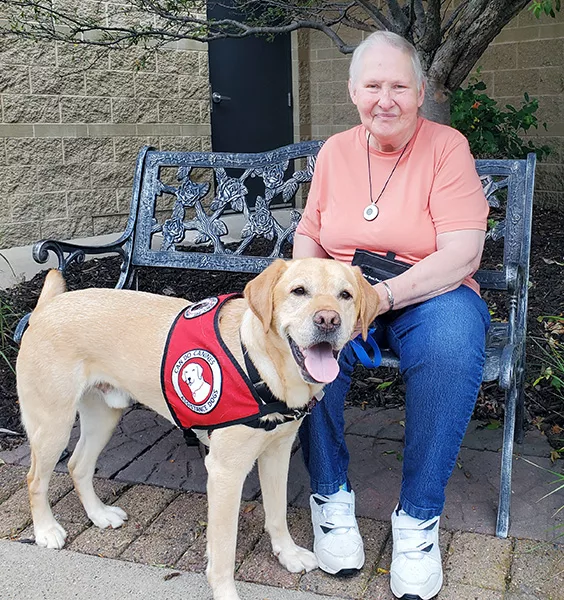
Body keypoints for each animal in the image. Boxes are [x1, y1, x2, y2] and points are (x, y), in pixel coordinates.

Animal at [16, 258, 378, 600]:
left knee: (78, 466)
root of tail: (47, 306)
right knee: (35, 479)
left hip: (104, 416)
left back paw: (99, 515)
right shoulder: (225, 472)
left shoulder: (276, 454)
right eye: (299, 291)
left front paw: (287, 555)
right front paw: (226, 592)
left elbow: (277, 514)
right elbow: (223, 551)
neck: (262, 367)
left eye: (345, 295)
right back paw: (46, 530)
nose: (328, 320)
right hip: (53, 424)